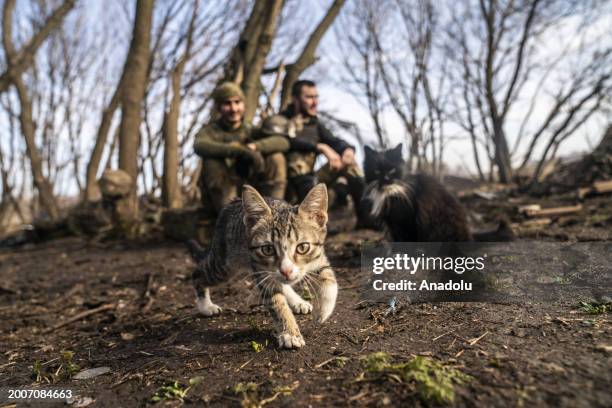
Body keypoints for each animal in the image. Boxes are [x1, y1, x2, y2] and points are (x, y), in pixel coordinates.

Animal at [189, 184, 338, 348]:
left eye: (302, 247)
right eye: (267, 249)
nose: (286, 270)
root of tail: (232, 203)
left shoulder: (319, 256)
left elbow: (329, 277)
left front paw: (324, 310)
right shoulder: (262, 271)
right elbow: (277, 302)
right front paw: (290, 333)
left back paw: (297, 301)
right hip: (224, 265)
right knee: (198, 274)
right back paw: (205, 306)